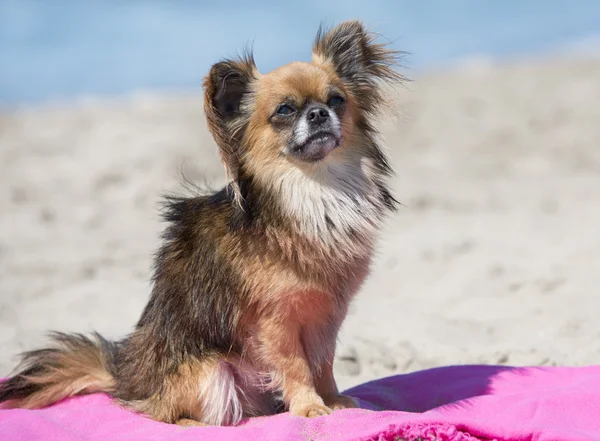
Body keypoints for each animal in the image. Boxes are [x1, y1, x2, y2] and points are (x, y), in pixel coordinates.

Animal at [1, 20, 404, 426]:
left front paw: (334, 401)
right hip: (211, 372)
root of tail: (130, 379)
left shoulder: (325, 317)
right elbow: (296, 366)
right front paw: (309, 407)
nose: (319, 113)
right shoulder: (277, 322)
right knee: (167, 415)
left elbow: (323, 364)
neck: (314, 190)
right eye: (285, 110)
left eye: (336, 100)